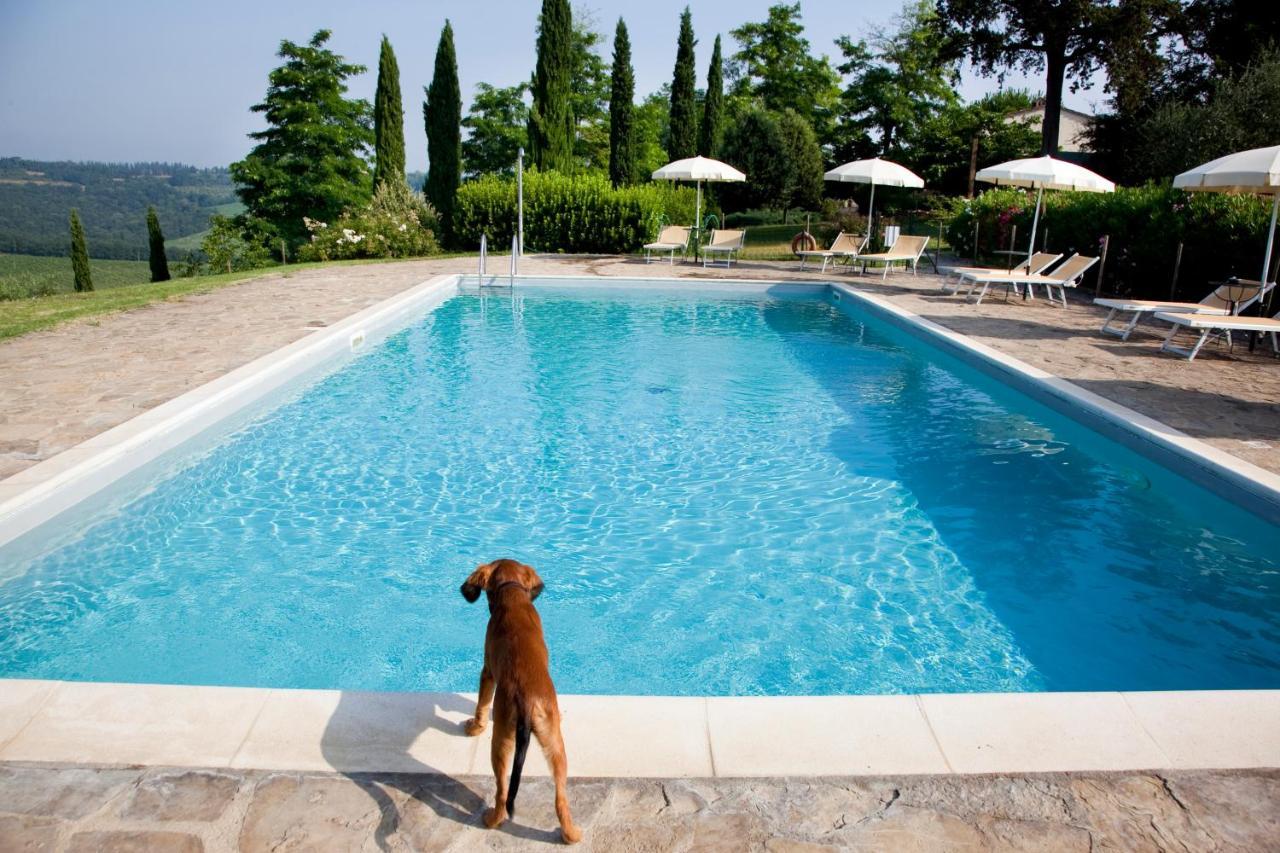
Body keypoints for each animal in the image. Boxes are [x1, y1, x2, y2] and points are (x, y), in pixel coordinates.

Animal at [460, 555, 581, 840]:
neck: (512, 592)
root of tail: (527, 702)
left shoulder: (487, 671)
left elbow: (482, 704)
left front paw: (475, 727)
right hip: (555, 743)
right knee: (561, 799)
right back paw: (571, 835)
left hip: (502, 742)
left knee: (502, 793)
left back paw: (491, 819)